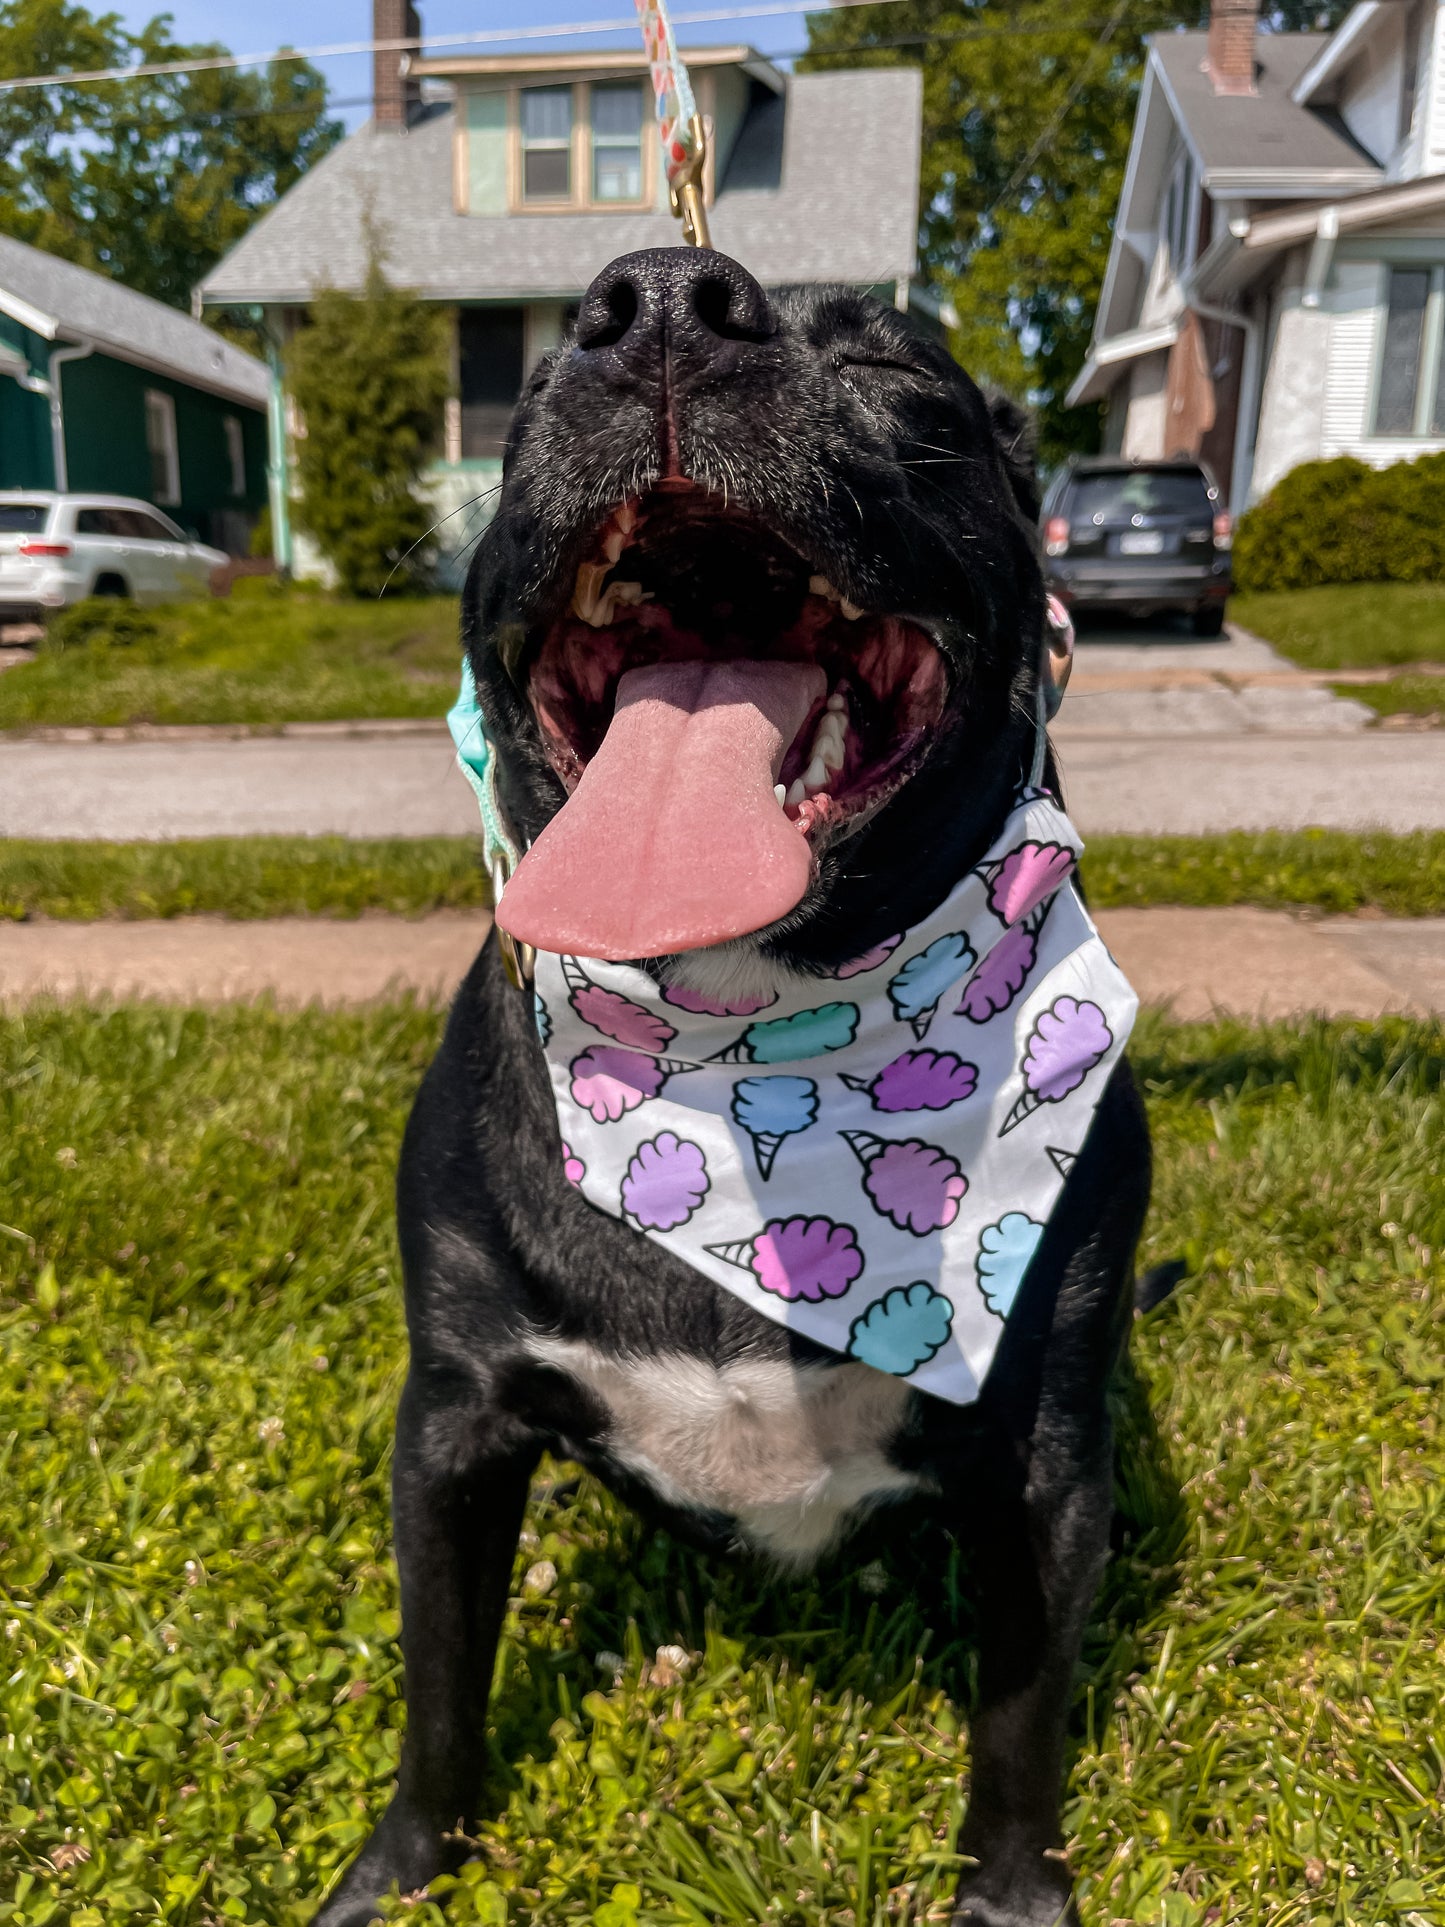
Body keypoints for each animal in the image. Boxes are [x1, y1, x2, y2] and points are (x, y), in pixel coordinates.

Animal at [319, 252, 1156, 1927]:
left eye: (899, 377)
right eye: (526, 398)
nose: (652, 298)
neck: (740, 1080)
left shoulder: (1047, 1465)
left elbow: (1020, 1716)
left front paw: (1012, 1890)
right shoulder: (451, 1428)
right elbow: (440, 1691)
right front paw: (404, 1870)